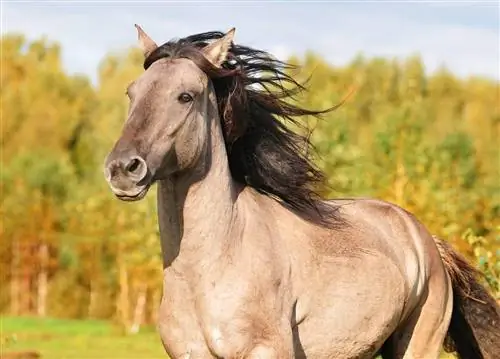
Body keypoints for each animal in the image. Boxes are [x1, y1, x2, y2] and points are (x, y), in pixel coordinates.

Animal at [102, 23, 500, 358]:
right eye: (131, 93)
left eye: (186, 96)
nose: (122, 169)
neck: (210, 266)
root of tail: (428, 242)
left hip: (416, 343)